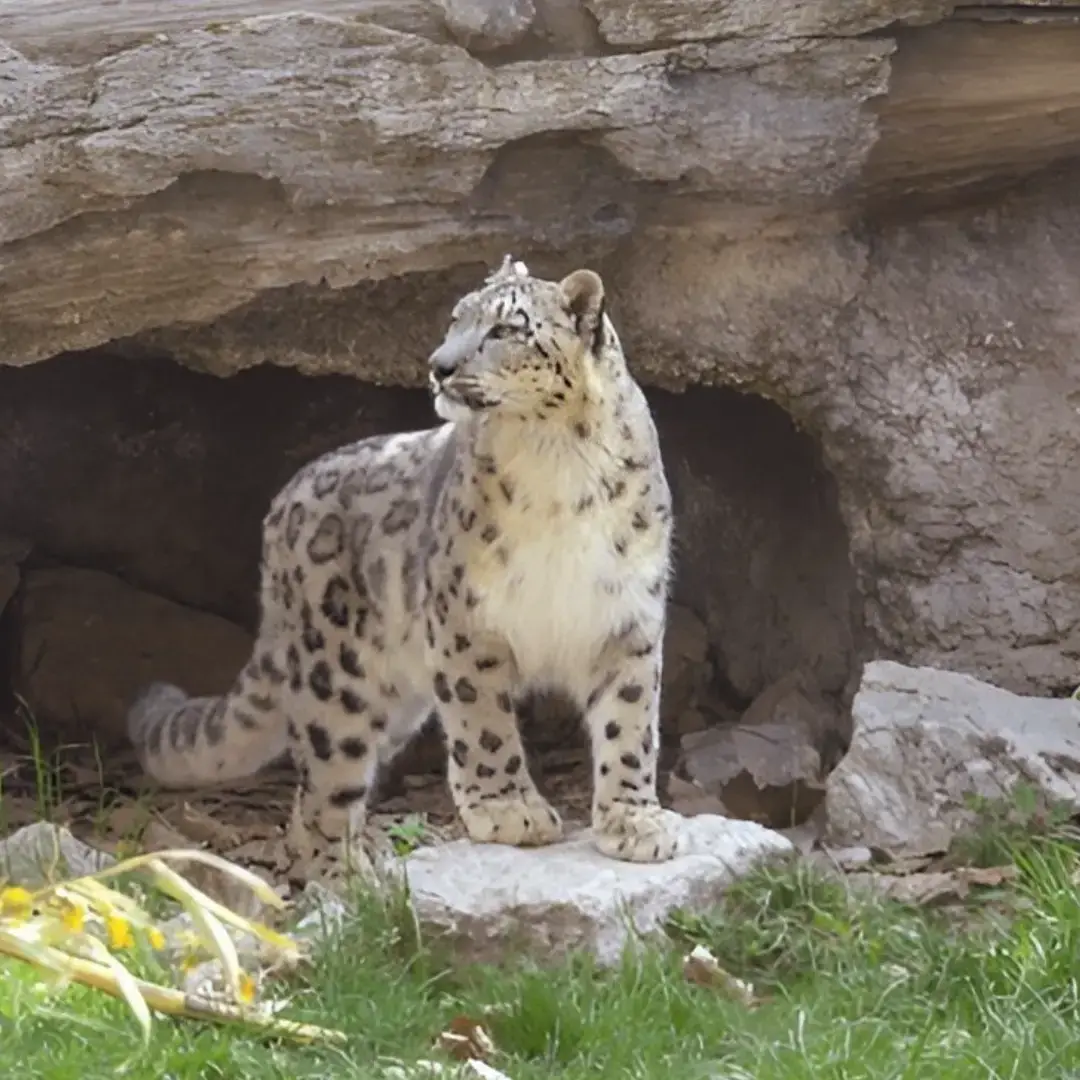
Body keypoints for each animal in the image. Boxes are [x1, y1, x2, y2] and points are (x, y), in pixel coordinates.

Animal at [126, 255, 683, 885]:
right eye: (455, 319)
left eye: (505, 329)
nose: (439, 366)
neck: (556, 458)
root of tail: (281, 507)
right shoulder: (465, 618)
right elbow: (482, 720)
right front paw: (508, 810)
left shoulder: (627, 619)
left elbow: (629, 721)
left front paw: (634, 820)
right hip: (338, 673)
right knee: (326, 778)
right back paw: (345, 873)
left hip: (393, 698)